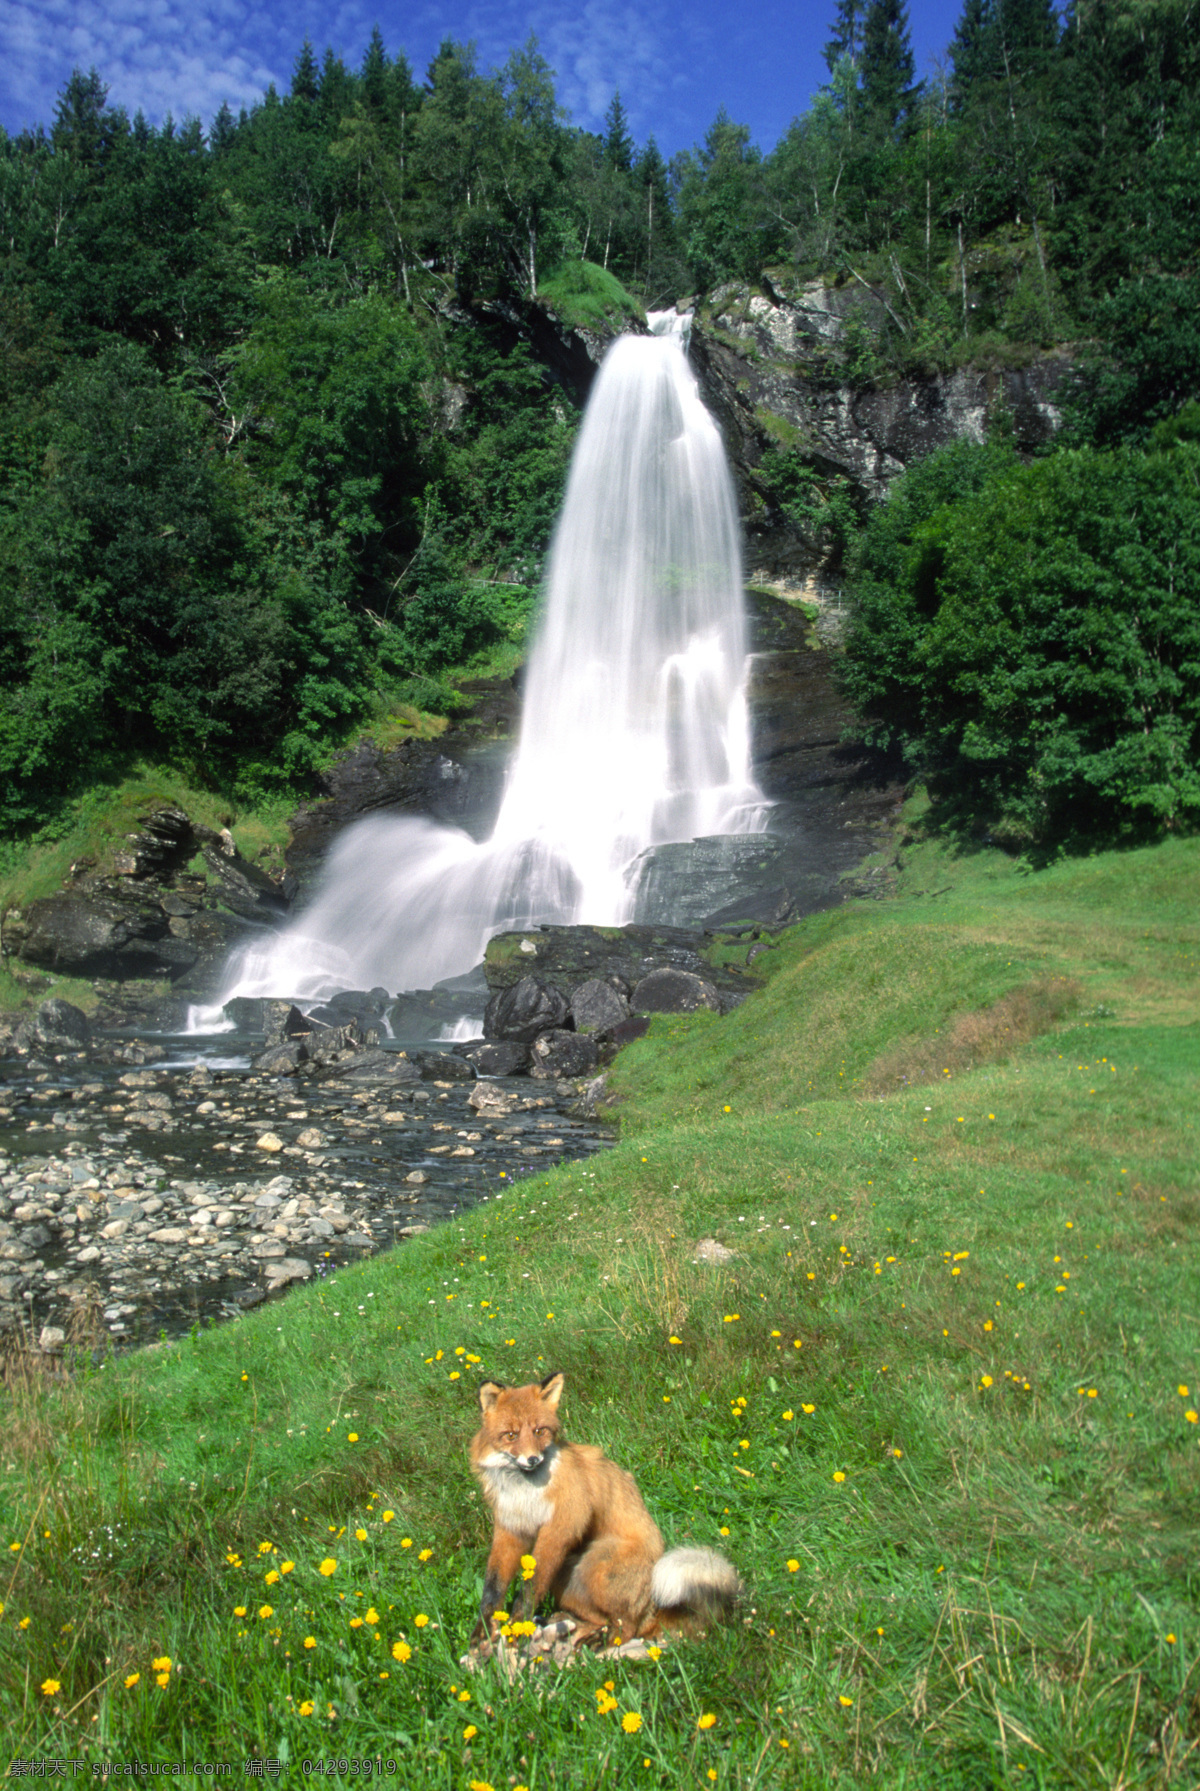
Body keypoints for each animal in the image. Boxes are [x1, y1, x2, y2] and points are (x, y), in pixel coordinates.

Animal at [472, 1368, 741, 1647]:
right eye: (511, 1435)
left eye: (539, 1431)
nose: (533, 1459)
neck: (524, 1492)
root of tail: (651, 1607)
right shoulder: (511, 1528)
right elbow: (493, 1587)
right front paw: (483, 1631)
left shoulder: (563, 1524)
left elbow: (531, 1585)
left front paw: (517, 1625)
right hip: (566, 1578)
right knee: (600, 1620)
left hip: (596, 1567)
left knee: (627, 1628)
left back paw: (604, 1645)